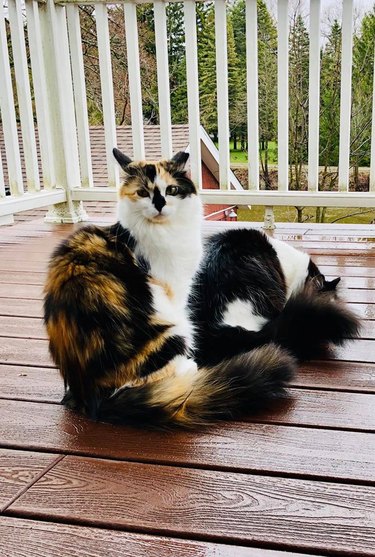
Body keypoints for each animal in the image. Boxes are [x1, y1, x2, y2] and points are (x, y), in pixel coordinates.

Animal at [44, 150, 296, 428]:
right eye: (142, 193)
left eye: (172, 189)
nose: (160, 204)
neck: (165, 232)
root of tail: (91, 397)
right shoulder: (175, 289)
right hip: (171, 325)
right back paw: (189, 368)